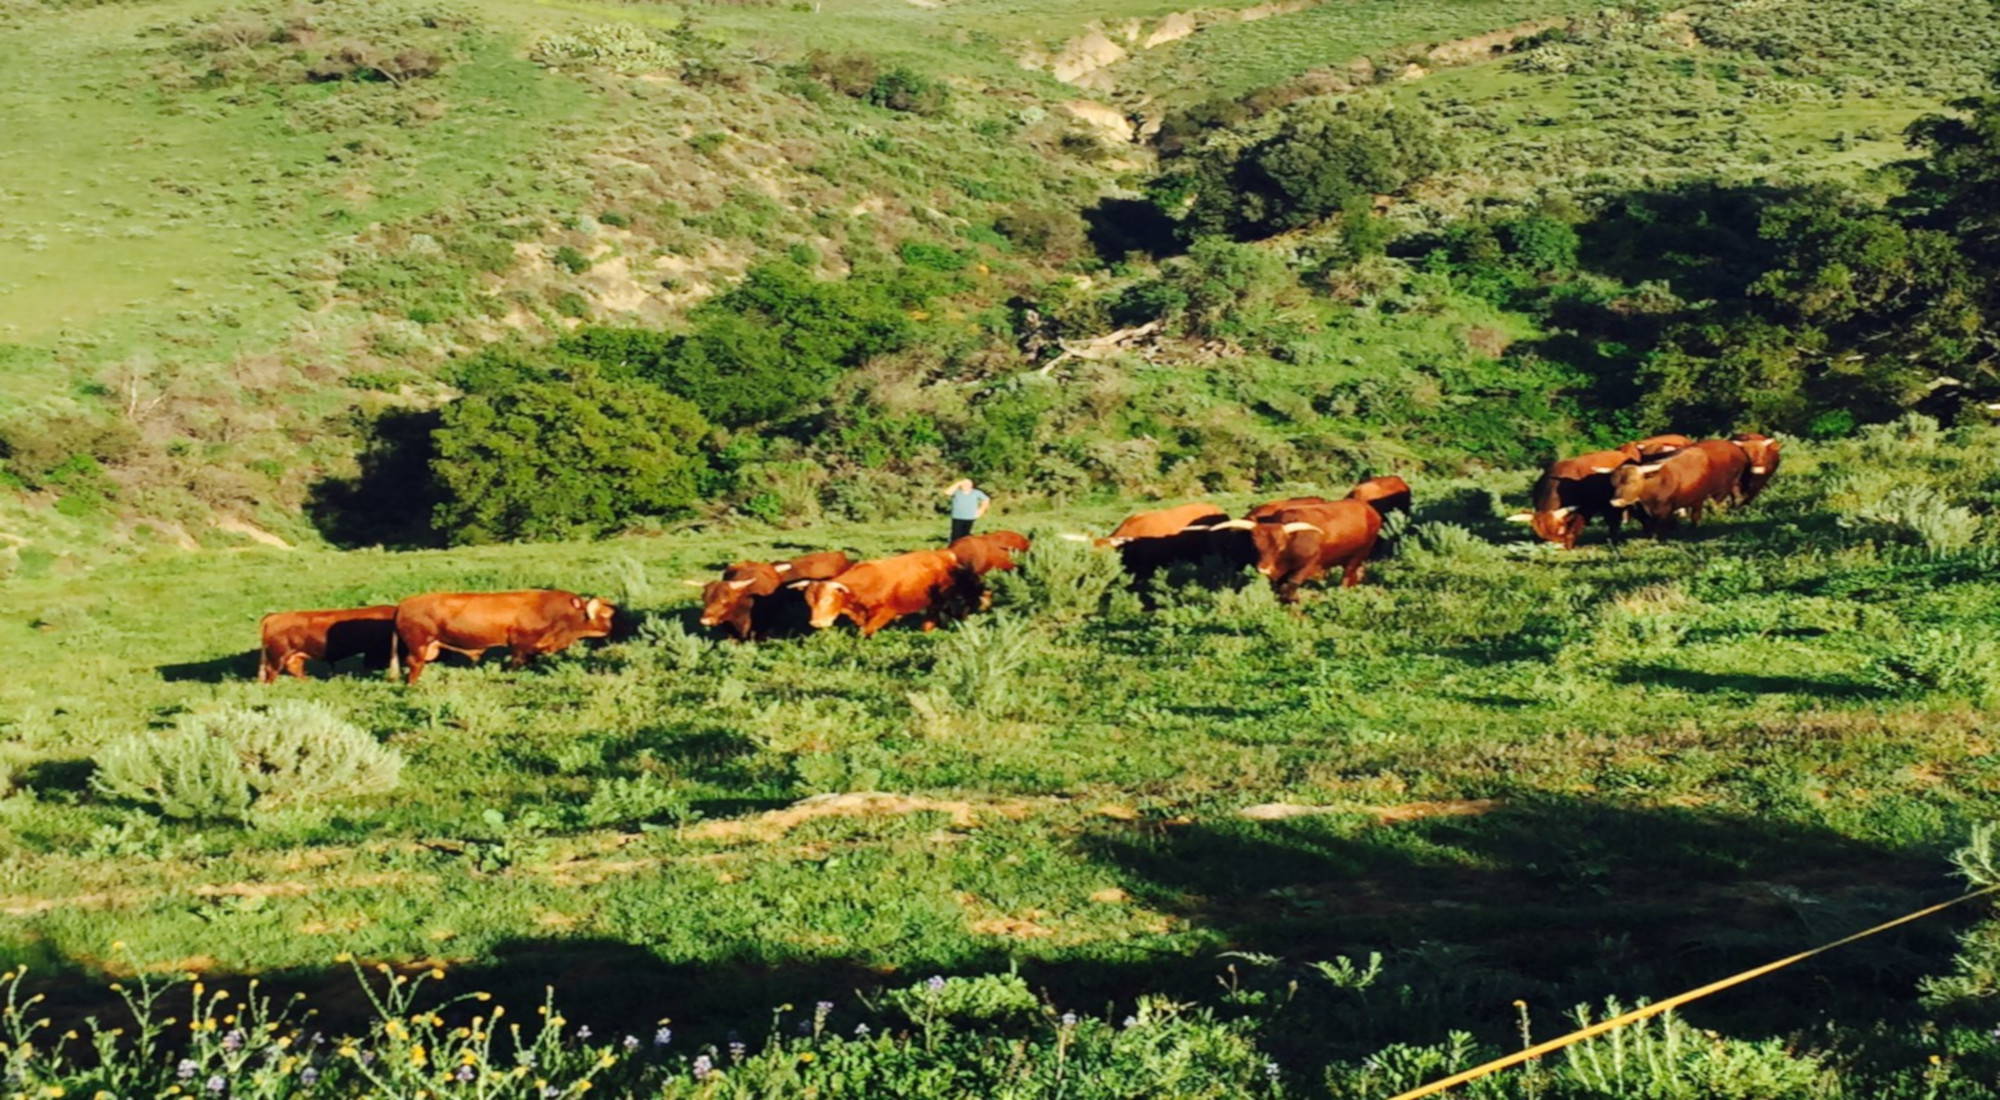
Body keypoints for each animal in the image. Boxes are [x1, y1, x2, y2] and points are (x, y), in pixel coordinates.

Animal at [386, 592, 612, 684]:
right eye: (602, 614)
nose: (610, 628)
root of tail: (402, 605)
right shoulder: (519, 646)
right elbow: (516, 664)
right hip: (419, 645)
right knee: (415, 663)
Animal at [804, 552, 976, 640]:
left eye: (828, 599)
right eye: (809, 603)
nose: (815, 623)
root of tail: (945, 554)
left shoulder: (885, 613)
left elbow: (864, 631)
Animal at [1240, 500, 1384, 604]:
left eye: (1280, 547)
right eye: (1256, 546)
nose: (1263, 569)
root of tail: (1369, 510)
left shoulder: (1309, 565)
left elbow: (1291, 585)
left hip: (1359, 554)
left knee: (1347, 576)